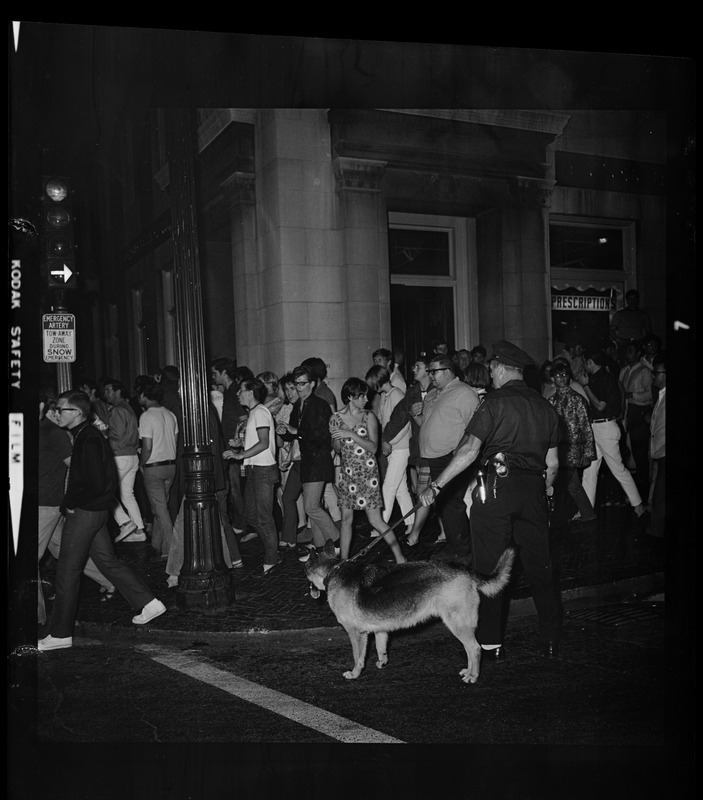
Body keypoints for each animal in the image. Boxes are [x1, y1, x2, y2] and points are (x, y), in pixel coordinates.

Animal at [306, 548, 516, 684]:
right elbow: (381, 648)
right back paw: (468, 671)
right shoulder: (380, 630)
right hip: (459, 625)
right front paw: (382, 662)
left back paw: (473, 676)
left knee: (475, 648)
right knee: (470, 649)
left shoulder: (356, 634)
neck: (333, 570)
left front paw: (354, 673)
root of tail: (465, 570)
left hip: (457, 624)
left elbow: (358, 657)